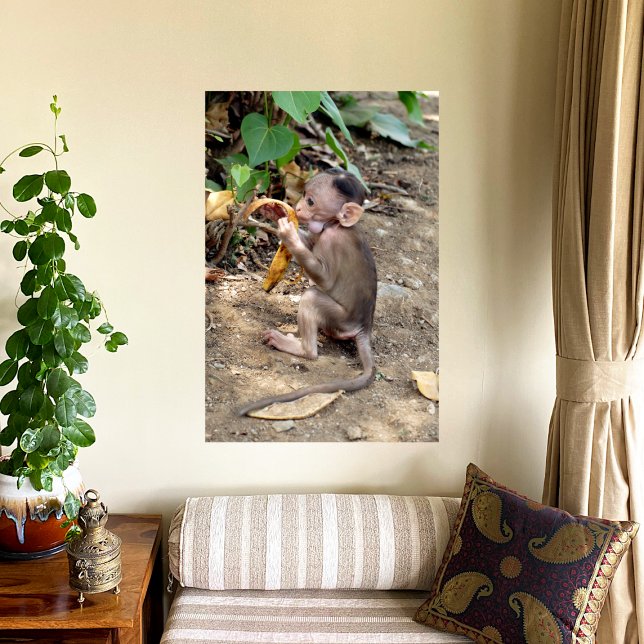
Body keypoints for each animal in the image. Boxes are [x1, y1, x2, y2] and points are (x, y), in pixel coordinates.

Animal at [238, 167, 377, 416]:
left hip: (341, 321)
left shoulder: (333, 241)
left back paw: (302, 348)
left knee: (312, 297)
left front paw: (289, 235)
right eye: (303, 195)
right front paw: (274, 211)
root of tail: (364, 327)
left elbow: (325, 279)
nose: (299, 207)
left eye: (311, 201)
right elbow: (311, 242)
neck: (335, 224)